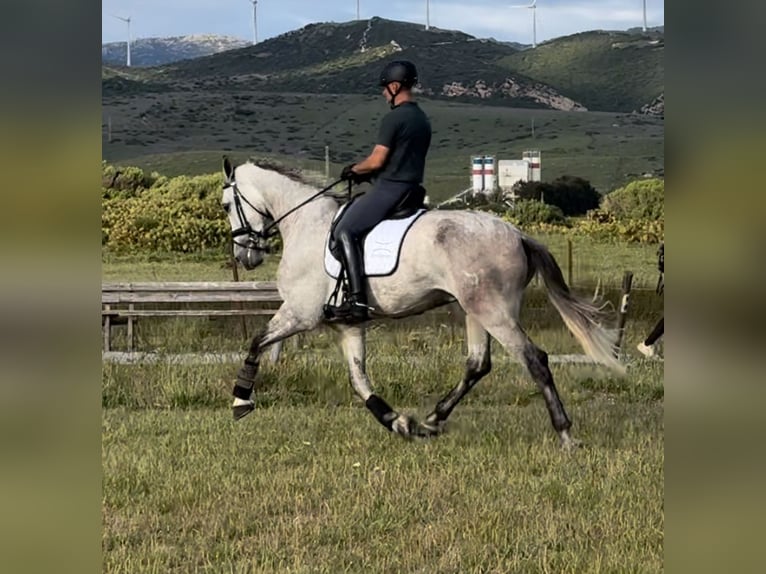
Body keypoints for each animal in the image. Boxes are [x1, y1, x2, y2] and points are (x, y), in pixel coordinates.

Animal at [221, 157, 624, 448]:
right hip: (475, 310)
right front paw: (398, 422)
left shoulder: (300, 314)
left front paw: (241, 400)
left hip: (493, 311)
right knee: (477, 364)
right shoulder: (347, 324)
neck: (305, 225)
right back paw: (432, 421)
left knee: (534, 359)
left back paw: (565, 433)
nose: (245, 256)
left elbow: (256, 341)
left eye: (226, 205)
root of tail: (518, 234)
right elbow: (359, 380)